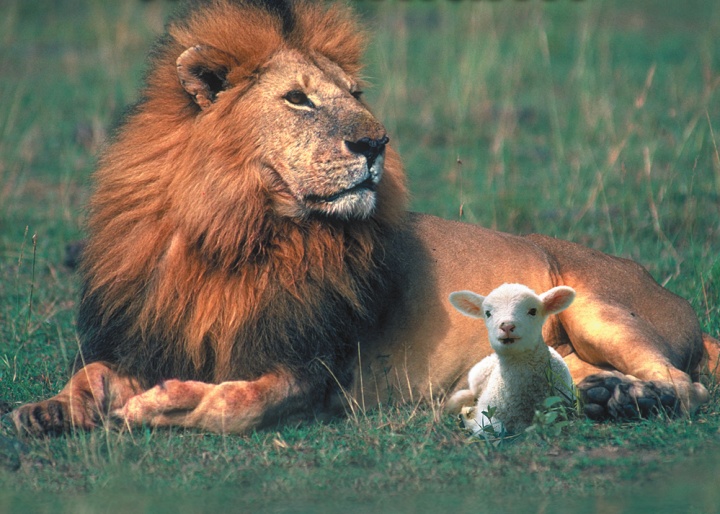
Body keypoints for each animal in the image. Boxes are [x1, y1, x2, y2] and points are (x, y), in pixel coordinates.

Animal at [448, 282, 576, 434]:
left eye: (533, 311)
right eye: (488, 313)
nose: (507, 326)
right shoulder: (488, 412)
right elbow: (491, 428)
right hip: (476, 376)